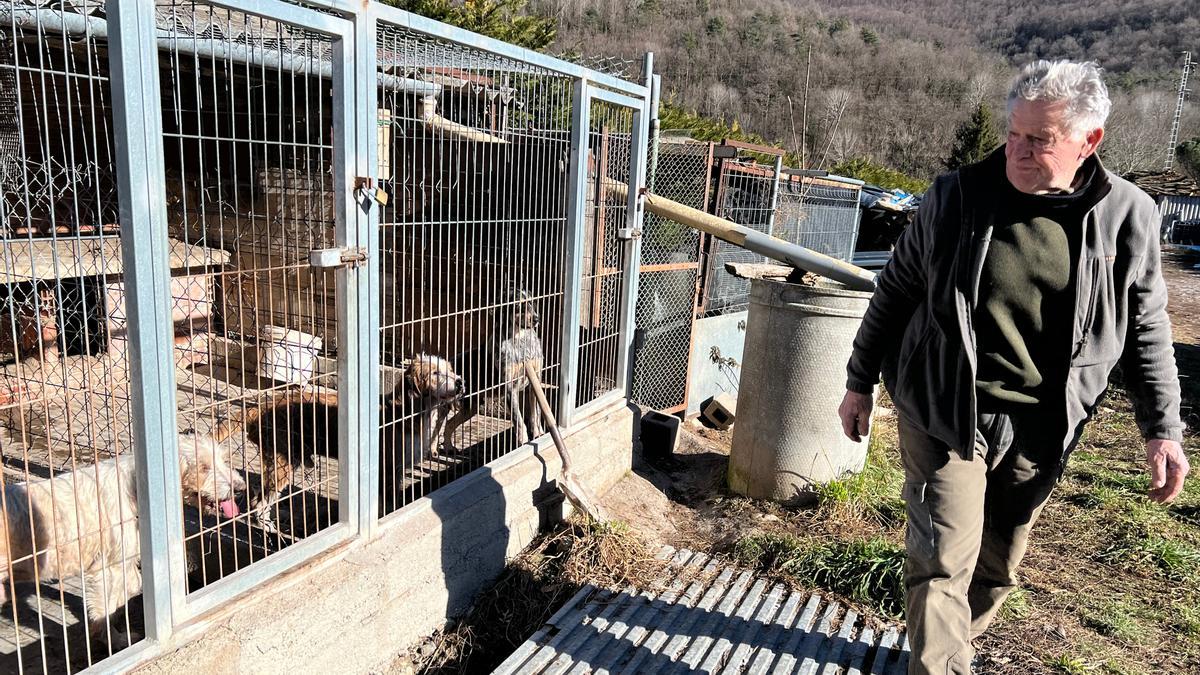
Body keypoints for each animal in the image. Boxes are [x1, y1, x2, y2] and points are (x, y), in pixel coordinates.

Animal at [0, 432, 244, 643]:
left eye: (224, 460)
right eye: (203, 467)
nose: (241, 488)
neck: (138, 488)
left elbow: (128, 589)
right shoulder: (108, 567)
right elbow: (109, 605)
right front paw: (114, 639)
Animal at [223, 353, 465, 530]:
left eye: (450, 370)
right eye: (435, 372)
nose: (461, 382)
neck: (407, 411)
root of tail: (258, 407)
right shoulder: (388, 469)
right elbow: (389, 502)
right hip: (282, 463)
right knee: (260, 501)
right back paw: (267, 528)